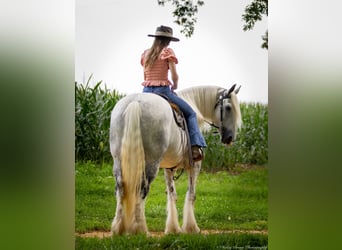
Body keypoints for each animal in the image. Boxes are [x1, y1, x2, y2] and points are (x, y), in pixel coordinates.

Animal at [109, 84, 240, 234]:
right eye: (229, 107)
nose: (230, 137)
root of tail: (135, 102)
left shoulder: (168, 168)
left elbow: (172, 195)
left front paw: (173, 228)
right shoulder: (194, 165)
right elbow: (191, 194)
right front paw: (191, 227)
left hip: (118, 160)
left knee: (121, 188)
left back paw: (118, 228)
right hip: (151, 163)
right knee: (142, 189)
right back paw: (140, 229)